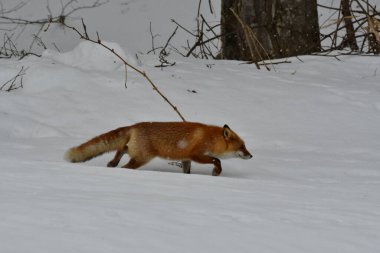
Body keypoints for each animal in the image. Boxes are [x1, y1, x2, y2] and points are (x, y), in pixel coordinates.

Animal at [63, 122, 251, 176]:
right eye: (242, 146)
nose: (251, 156)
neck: (211, 139)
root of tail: (134, 125)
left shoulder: (186, 158)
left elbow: (187, 172)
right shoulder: (195, 154)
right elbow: (217, 160)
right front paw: (216, 172)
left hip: (136, 153)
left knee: (122, 149)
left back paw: (112, 162)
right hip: (142, 158)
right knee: (126, 165)